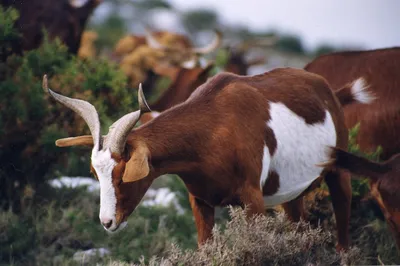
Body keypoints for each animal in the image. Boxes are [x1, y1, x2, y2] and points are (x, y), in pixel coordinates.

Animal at [45, 67, 374, 250]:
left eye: (123, 173)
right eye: (95, 171)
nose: (107, 222)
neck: (216, 122)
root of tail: (331, 92)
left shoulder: (253, 202)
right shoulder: (200, 201)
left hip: (338, 174)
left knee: (343, 227)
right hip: (291, 196)